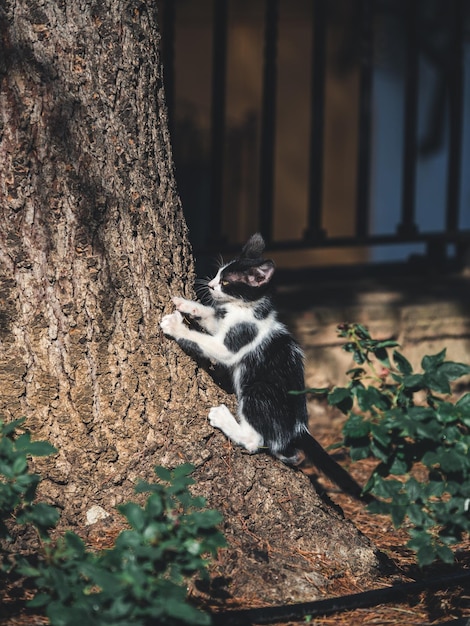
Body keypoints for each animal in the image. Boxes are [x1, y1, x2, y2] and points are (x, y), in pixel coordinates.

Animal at [160, 232, 370, 500]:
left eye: (226, 282)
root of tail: (299, 428)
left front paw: (176, 326)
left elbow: (207, 342)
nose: (210, 285)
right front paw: (187, 304)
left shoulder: (234, 343)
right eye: (218, 274)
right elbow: (212, 315)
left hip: (258, 390)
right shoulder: (223, 324)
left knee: (254, 441)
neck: (247, 309)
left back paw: (223, 418)